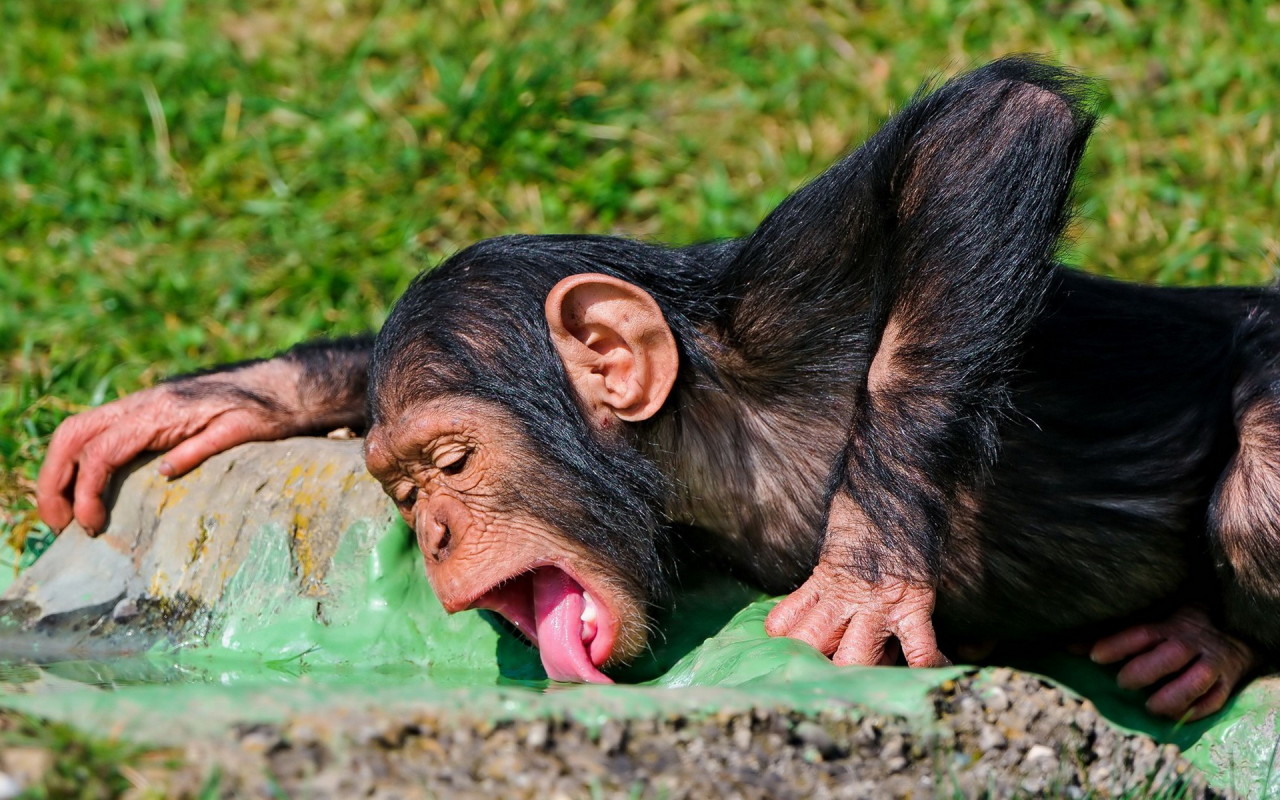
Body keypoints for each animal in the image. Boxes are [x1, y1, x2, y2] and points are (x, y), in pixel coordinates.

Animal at [36, 57, 1267, 721]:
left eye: (449, 463)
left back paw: (1206, 643)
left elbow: (992, 131)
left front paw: (863, 577)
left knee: (1260, 481)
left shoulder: (789, 303)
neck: (701, 440)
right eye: (399, 491)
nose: (432, 532)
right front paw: (222, 395)